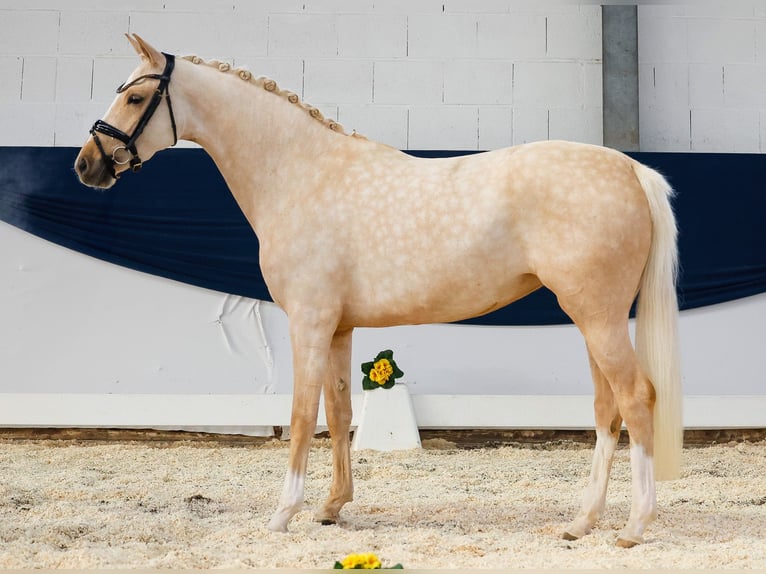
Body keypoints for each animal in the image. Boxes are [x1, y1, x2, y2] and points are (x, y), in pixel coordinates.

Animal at [73, 36, 684, 548]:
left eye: (136, 96)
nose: (86, 165)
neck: (300, 174)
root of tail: (630, 170)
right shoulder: (339, 327)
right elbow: (340, 409)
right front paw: (331, 507)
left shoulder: (309, 321)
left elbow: (302, 414)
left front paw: (283, 513)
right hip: (592, 317)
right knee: (607, 409)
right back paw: (581, 522)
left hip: (598, 316)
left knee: (636, 397)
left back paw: (634, 526)